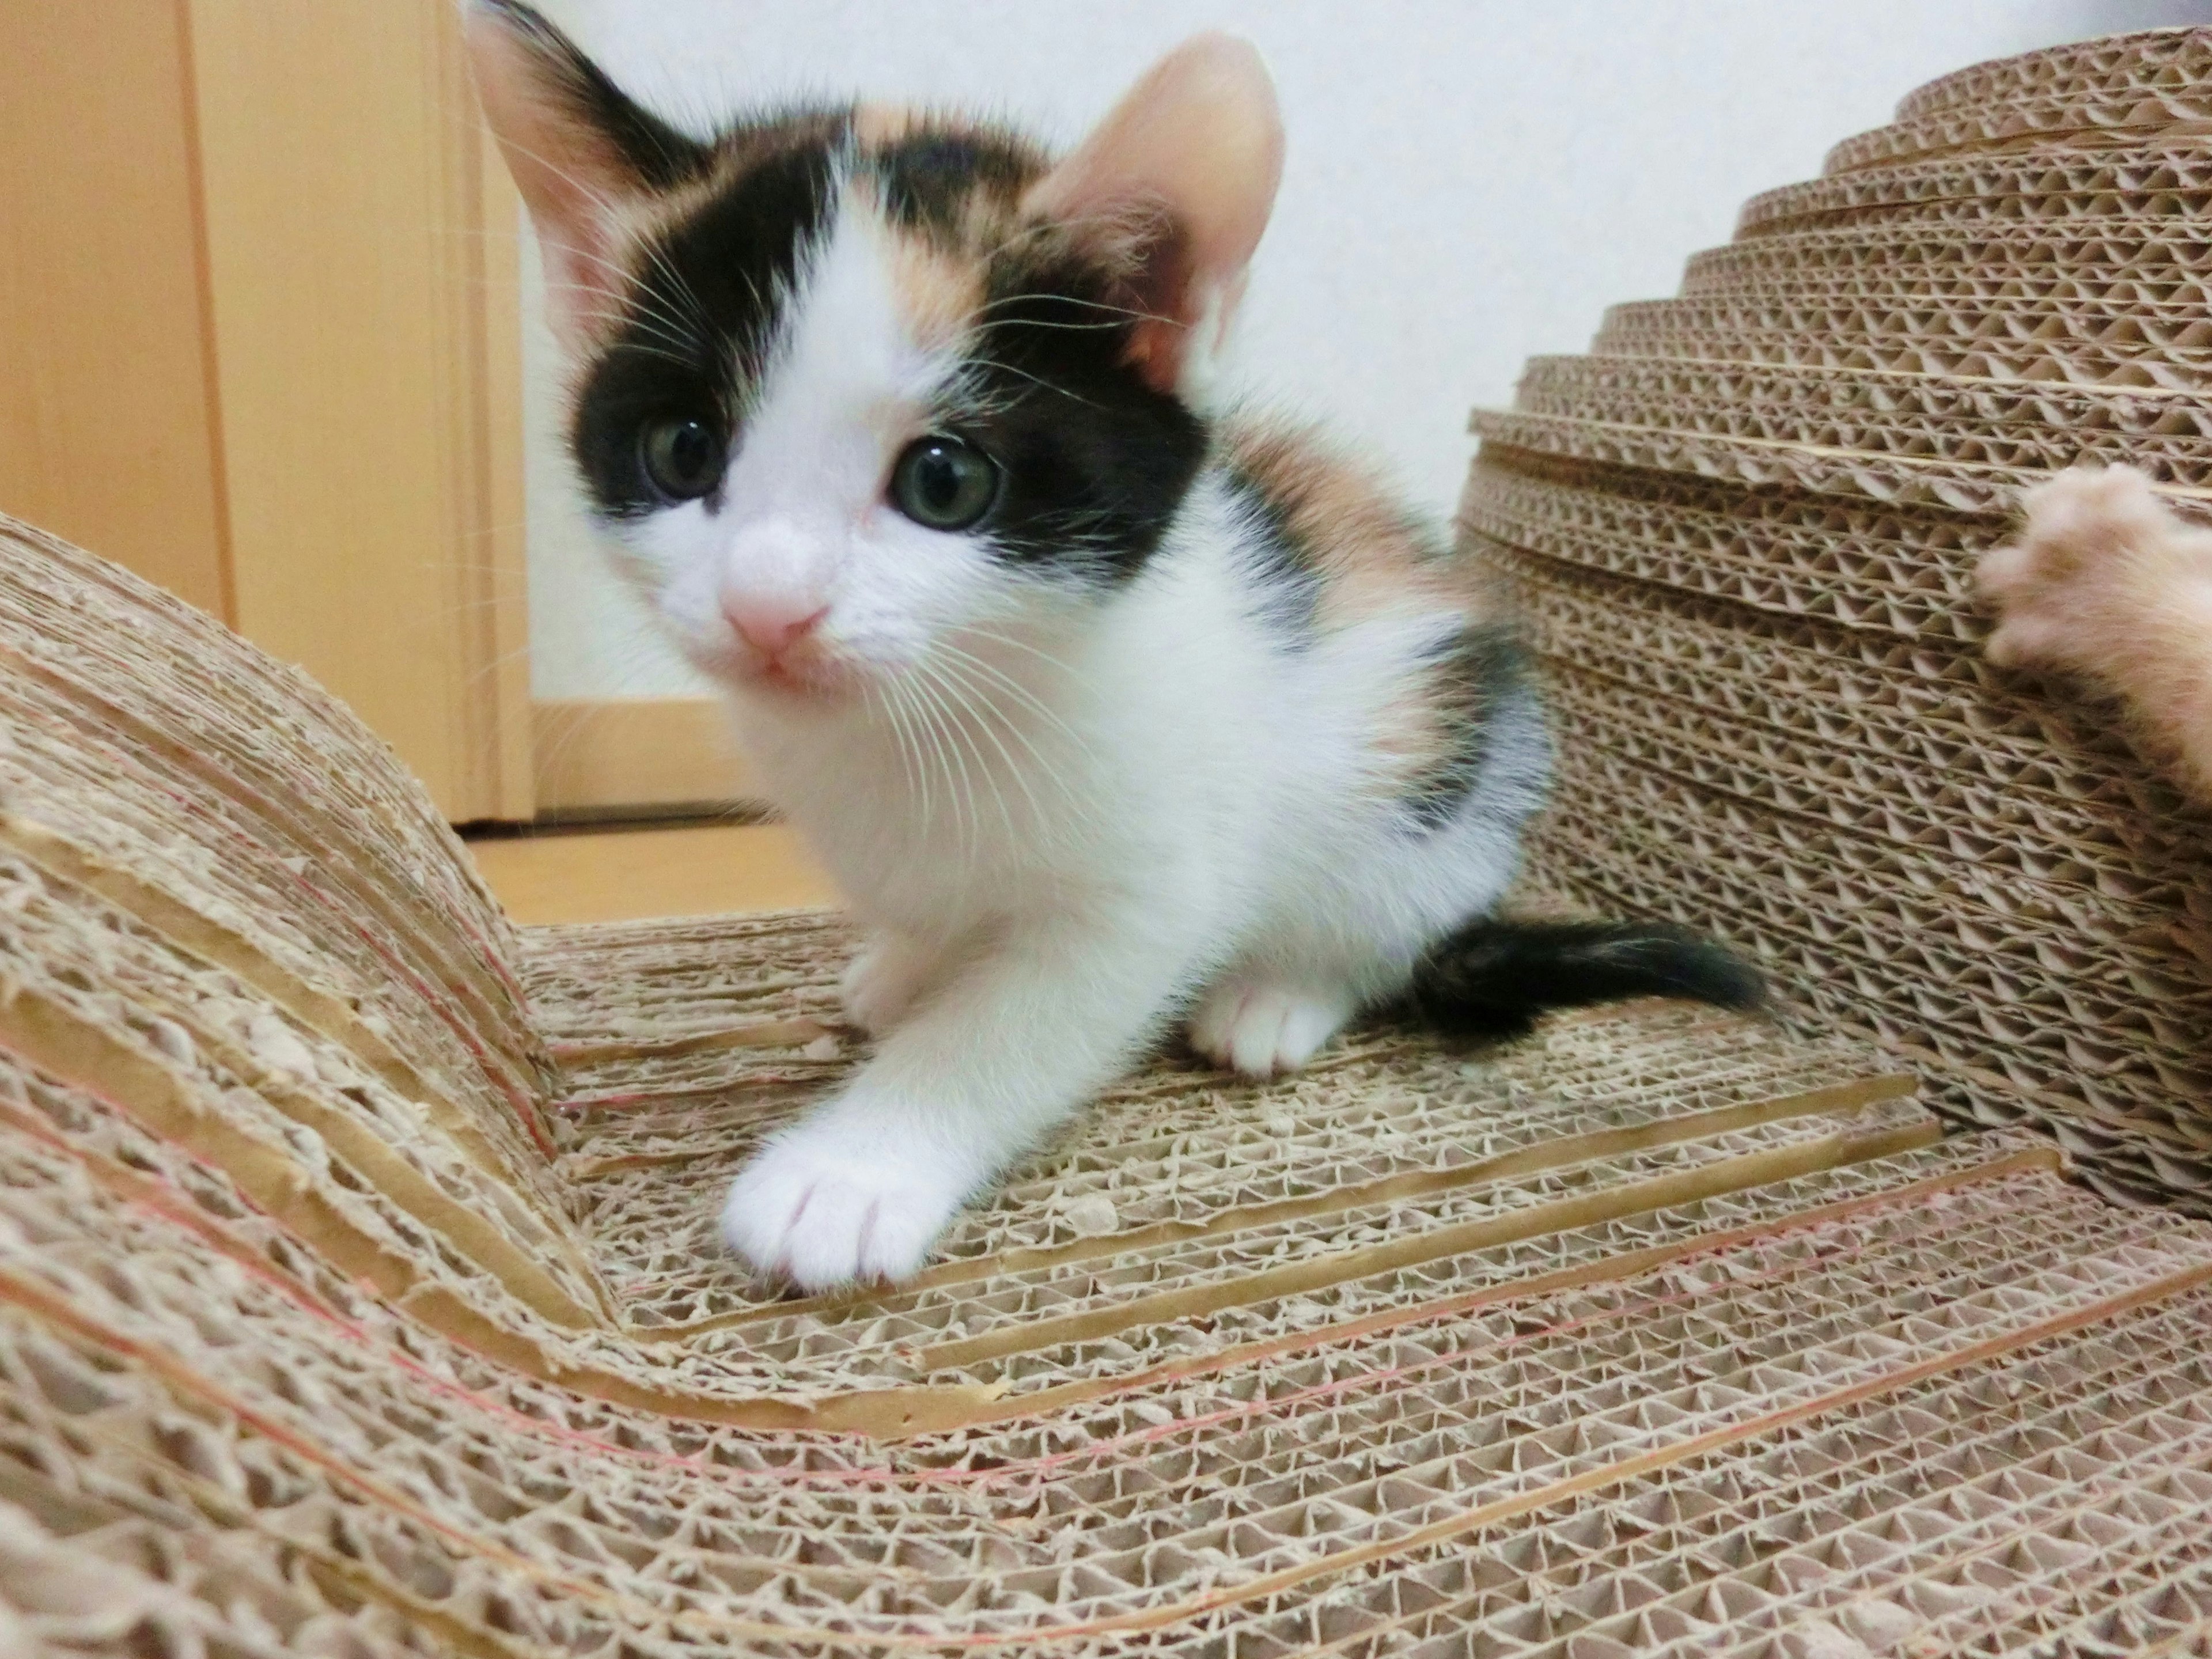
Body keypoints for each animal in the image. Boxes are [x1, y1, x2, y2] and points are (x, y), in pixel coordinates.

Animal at [467, 0, 1760, 1291]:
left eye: (945, 482)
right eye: (682, 452)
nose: (767, 607)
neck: (916, 728)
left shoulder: (1151, 888)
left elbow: (1014, 1024)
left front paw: (852, 1170)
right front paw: (908, 963)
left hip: (1428, 782)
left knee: (1385, 924)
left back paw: (1276, 997)